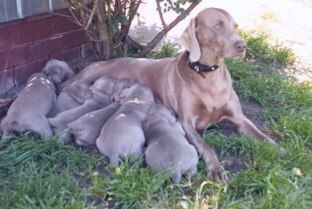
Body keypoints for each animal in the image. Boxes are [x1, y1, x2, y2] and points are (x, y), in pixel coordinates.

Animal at [59, 7, 274, 181]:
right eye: (218, 25)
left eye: (235, 26)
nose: (242, 45)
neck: (207, 76)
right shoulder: (188, 123)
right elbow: (206, 146)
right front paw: (216, 169)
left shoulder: (238, 117)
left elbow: (261, 135)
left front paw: (277, 149)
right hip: (89, 76)